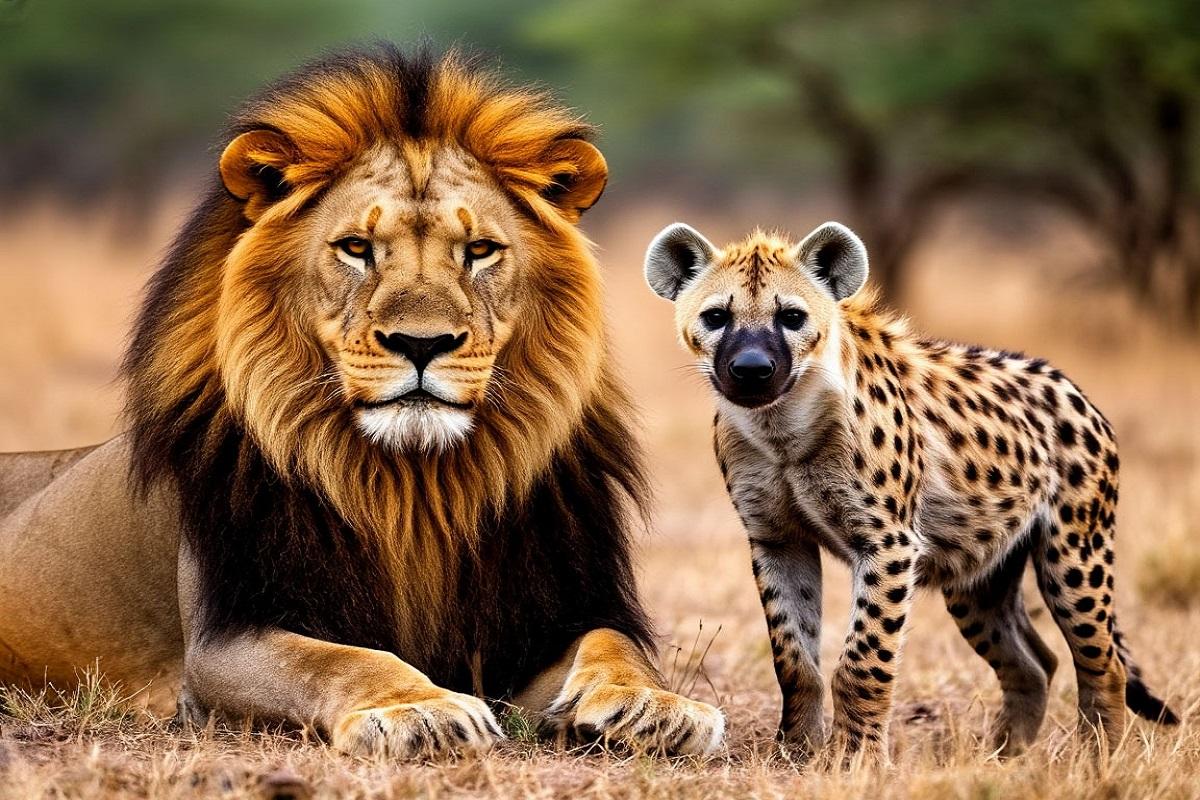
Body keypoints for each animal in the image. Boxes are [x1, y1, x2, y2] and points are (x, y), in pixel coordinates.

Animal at [0, 46, 724, 758]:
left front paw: (655, 707)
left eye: (480, 251)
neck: (417, 489)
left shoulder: (555, 614)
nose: (421, 342)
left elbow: (615, 645)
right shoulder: (222, 641)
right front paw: (419, 710)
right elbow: (342, 658)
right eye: (357, 248)